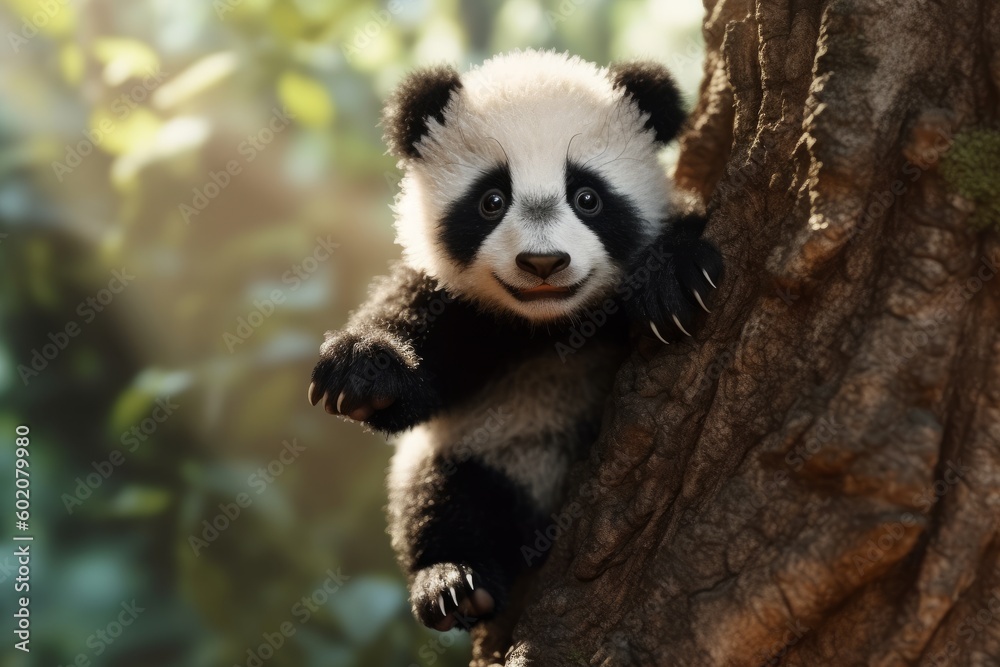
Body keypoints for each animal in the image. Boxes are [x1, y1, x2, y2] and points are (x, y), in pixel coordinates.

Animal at [308, 50, 722, 632]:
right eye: (492, 200)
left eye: (587, 197)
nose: (543, 263)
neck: (553, 325)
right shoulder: (459, 309)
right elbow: (411, 376)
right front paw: (362, 372)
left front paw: (673, 277)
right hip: (485, 453)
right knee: (441, 496)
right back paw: (455, 584)